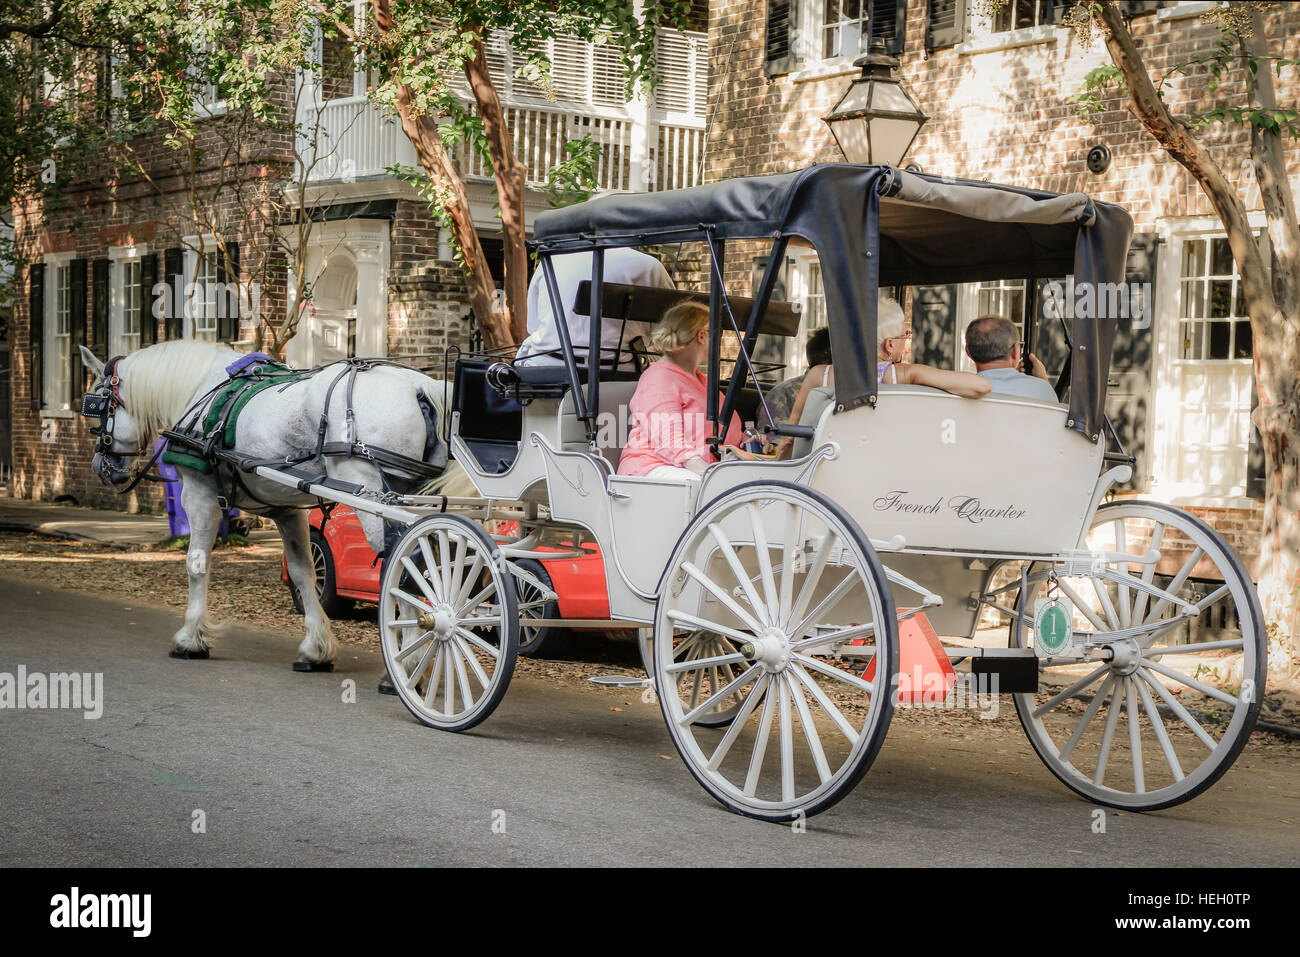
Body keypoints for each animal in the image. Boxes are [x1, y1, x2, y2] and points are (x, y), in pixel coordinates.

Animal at [78, 340, 457, 670]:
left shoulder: (199, 495)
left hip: (377, 499)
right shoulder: (286, 509)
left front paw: (191, 639)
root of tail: (420, 385)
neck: (202, 390)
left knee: (401, 567)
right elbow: (304, 573)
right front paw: (316, 648)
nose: (102, 468)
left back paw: (406, 662)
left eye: (97, 404)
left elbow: (196, 564)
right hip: (419, 497)